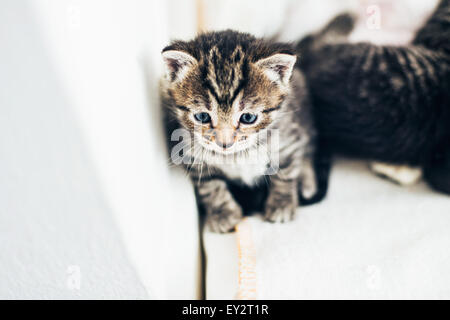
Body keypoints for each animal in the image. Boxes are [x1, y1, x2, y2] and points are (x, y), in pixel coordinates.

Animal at [160, 30, 326, 232]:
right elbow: (210, 186)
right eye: (202, 117)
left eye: (248, 118)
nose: (224, 143)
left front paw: (281, 203)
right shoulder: (191, 155)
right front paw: (223, 213)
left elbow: (286, 171)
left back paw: (307, 181)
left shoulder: (287, 138)